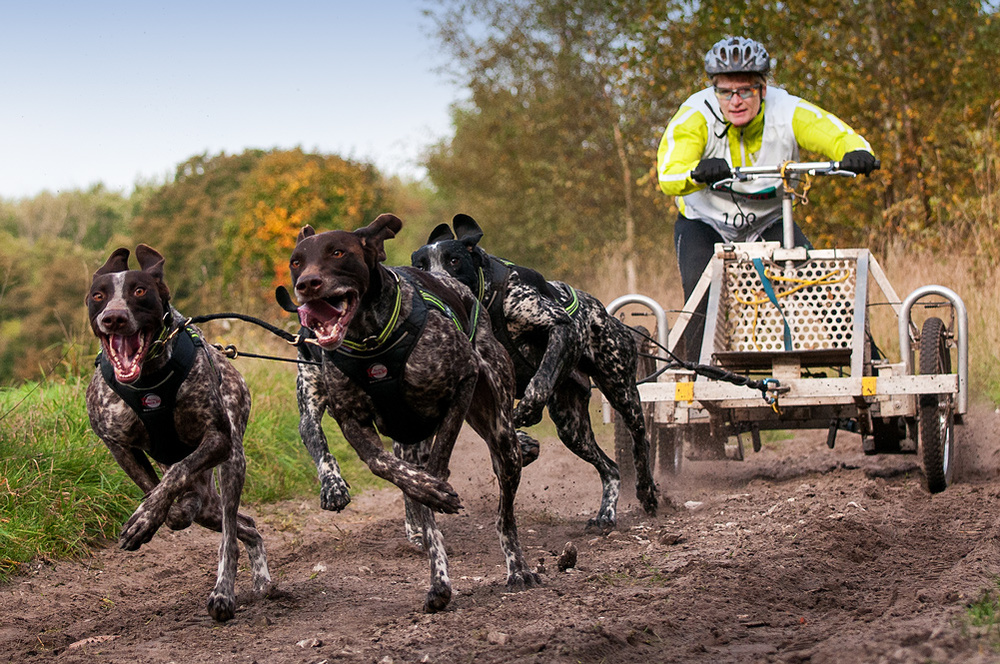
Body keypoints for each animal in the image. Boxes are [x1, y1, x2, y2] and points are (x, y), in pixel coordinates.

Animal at [84, 244, 272, 624]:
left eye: (140, 291)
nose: (113, 317)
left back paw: (224, 592)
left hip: (232, 464)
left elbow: (176, 472)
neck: (149, 381)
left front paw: (145, 519)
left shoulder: (218, 439)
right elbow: (152, 486)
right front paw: (157, 514)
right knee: (245, 524)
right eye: (99, 296)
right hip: (211, 504)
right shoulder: (116, 443)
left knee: (230, 535)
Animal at [286, 213, 544, 612]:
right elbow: (385, 467)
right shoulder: (351, 421)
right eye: (296, 261)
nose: (306, 285)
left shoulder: (463, 382)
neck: (371, 341)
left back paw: (517, 568)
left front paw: (435, 489)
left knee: (505, 515)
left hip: (500, 433)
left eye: (338, 252)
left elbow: (438, 462)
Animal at [410, 215, 660, 532]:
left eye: (453, 260)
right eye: (420, 266)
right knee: (611, 468)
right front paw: (524, 442)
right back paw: (606, 513)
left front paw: (525, 414)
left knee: (641, 440)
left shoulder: (561, 327)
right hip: (571, 427)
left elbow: (539, 384)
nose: (435, 283)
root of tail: (606, 314)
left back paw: (647, 491)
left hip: (621, 391)